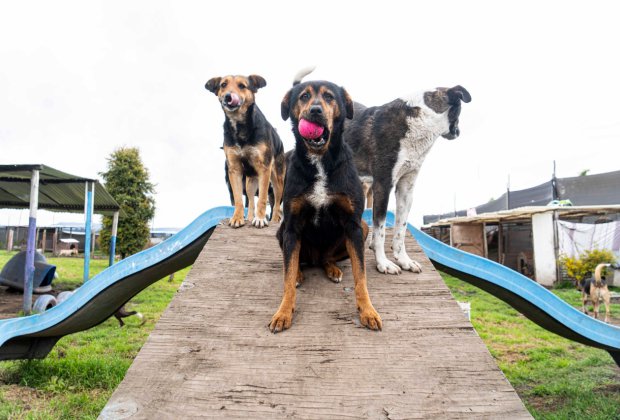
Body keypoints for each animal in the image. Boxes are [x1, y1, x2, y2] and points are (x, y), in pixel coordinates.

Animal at [207, 74, 286, 228]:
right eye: (223, 84)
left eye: (242, 86)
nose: (228, 96)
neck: (240, 125)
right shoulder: (235, 170)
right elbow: (239, 200)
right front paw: (237, 218)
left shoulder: (264, 169)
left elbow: (262, 199)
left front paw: (260, 219)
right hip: (250, 183)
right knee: (250, 202)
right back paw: (249, 218)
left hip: (277, 180)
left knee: (276, 204)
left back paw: (274, 220)